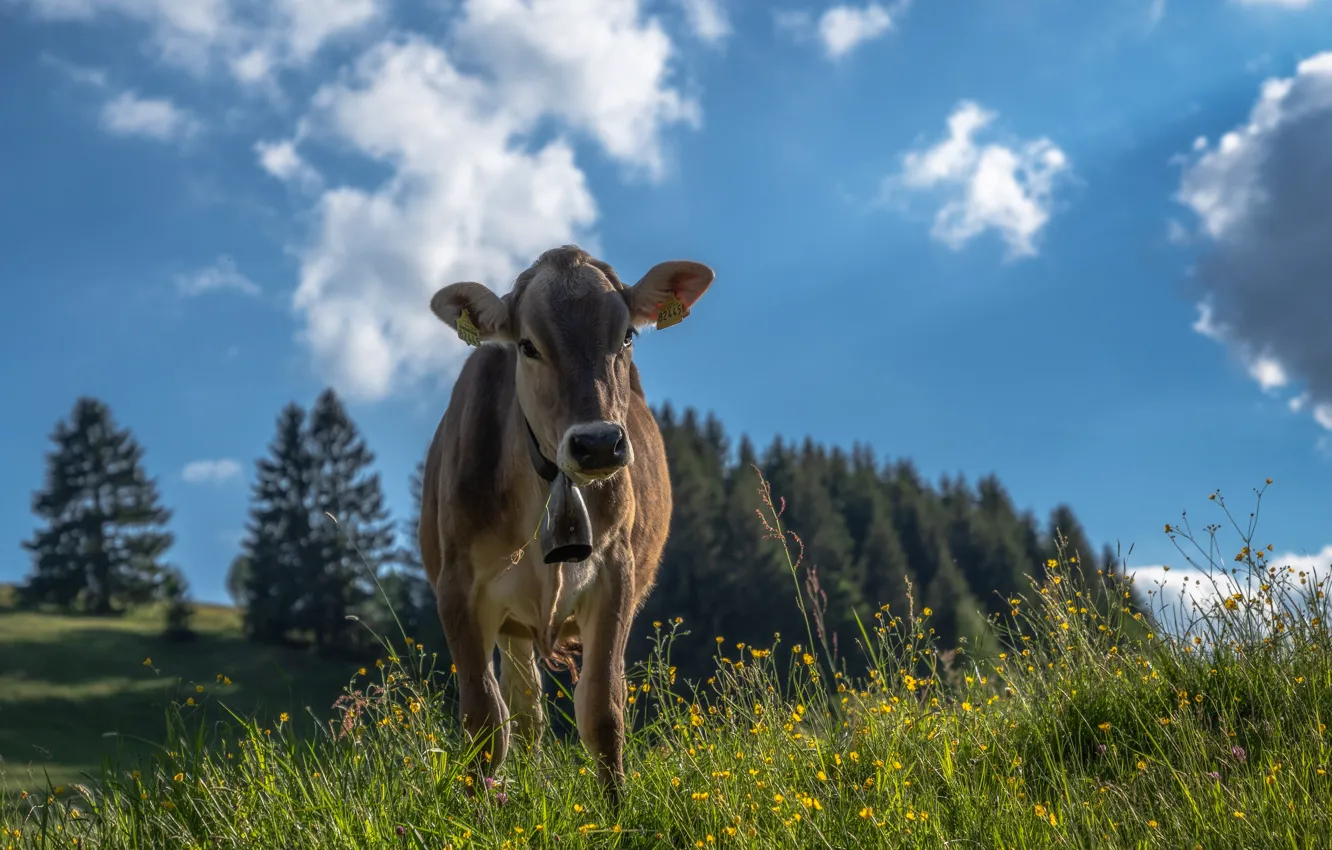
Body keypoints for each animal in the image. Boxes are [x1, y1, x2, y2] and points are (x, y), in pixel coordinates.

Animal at [418, 244, 715, 805]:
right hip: (512, 623)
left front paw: (617, 811)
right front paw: (476, 813)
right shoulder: (458, 588)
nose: (598, 444)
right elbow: (485, 720)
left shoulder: (615, 575)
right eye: (527, 346)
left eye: (627, 336)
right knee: (524, 710)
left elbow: (602, 709)